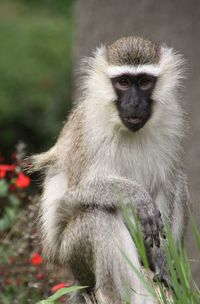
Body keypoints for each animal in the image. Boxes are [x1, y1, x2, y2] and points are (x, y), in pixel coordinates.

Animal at [30, 36, 189, 302]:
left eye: (144, 81)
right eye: (123, 82)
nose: (134, 103)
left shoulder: (172, 121)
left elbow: (166, 186)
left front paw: (162, 261)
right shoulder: (88, 129)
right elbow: (76, 191)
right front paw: (138, 196)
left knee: (179, 182)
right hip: (71, 255)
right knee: (99, 218)